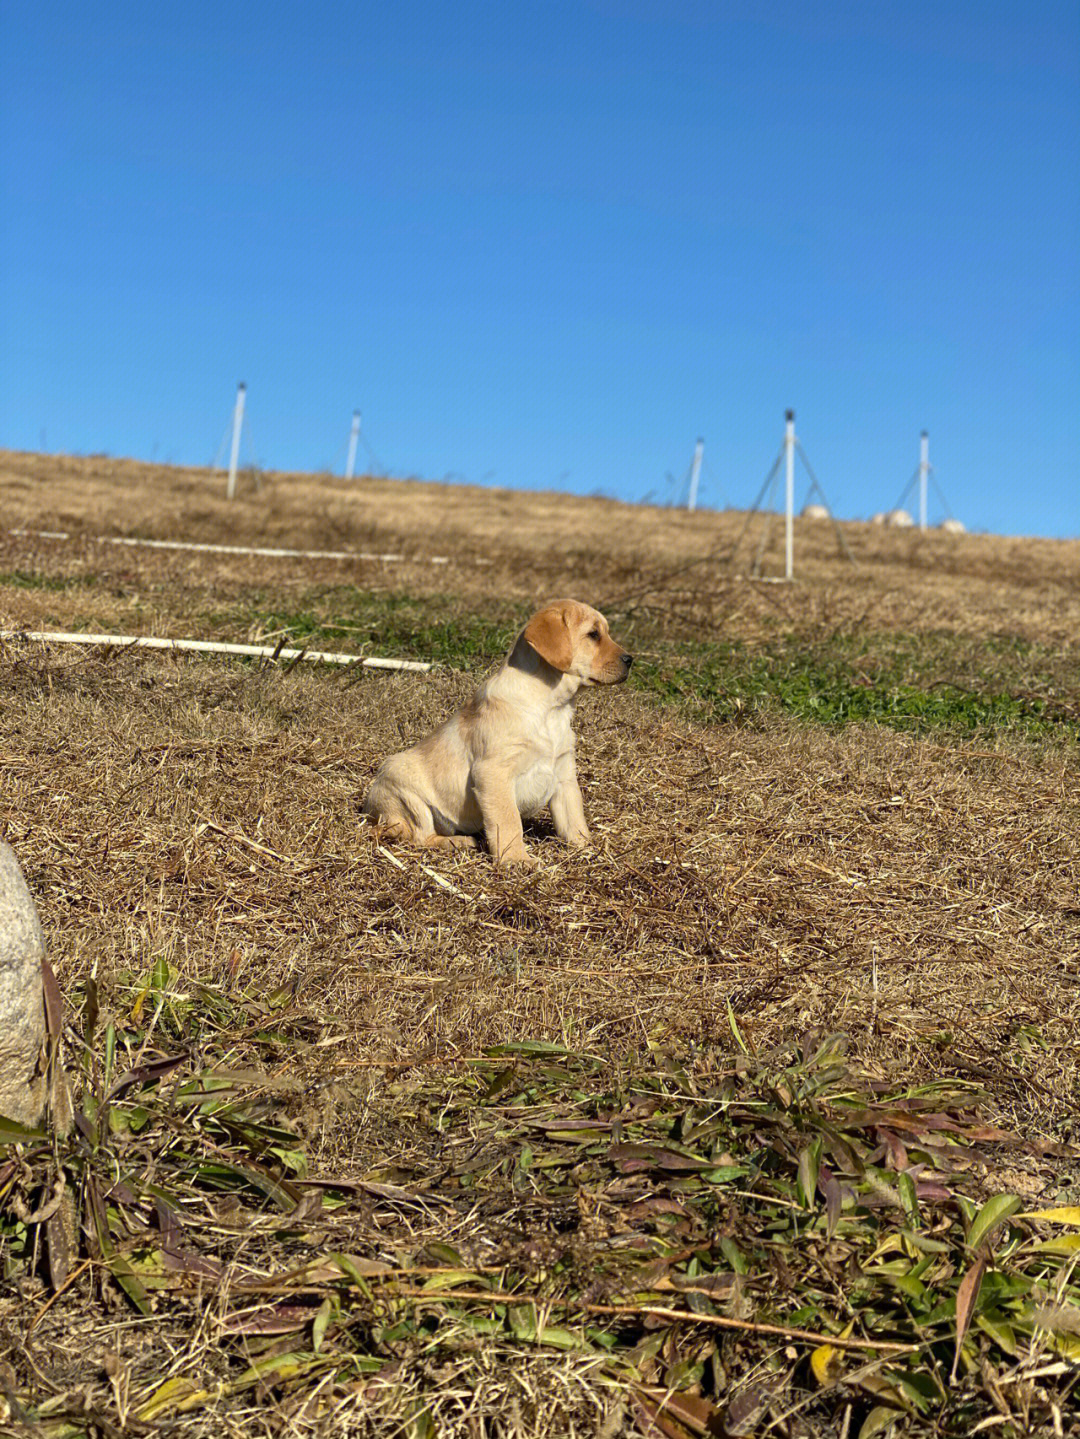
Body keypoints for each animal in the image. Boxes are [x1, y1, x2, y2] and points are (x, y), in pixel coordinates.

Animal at [363, 598, 632, 863]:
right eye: (593, 634)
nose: (631, 660)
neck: (552, 707)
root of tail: (372, 811)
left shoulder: (564, 775)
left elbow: (574, 819)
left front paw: (588, 848)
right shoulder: (493, 773)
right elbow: (509, 820)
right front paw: (517, 859)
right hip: (406, 795)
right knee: (419, 837)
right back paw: (459, 842)